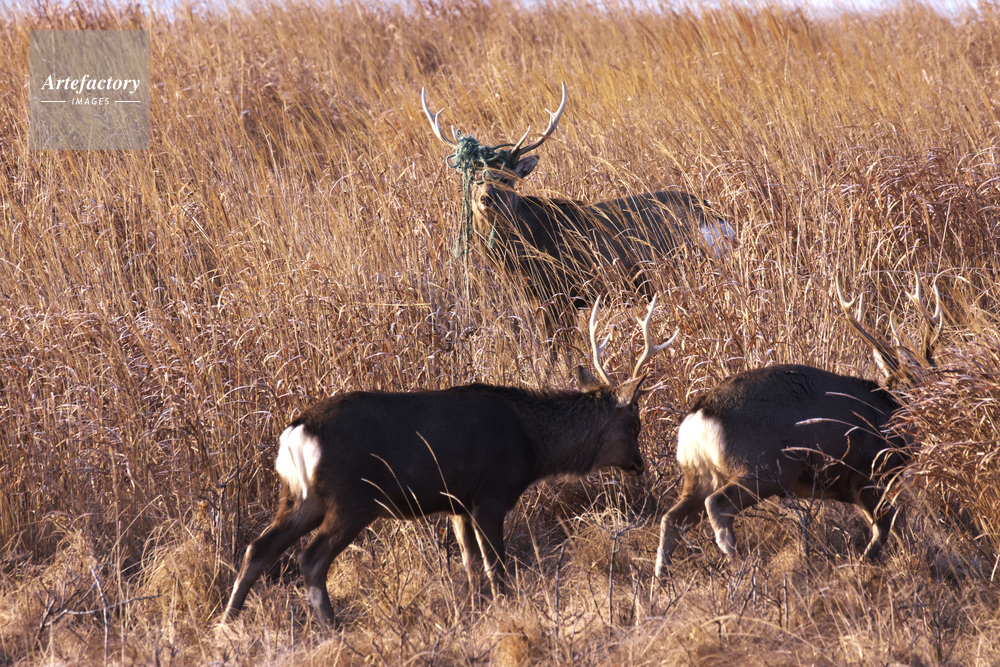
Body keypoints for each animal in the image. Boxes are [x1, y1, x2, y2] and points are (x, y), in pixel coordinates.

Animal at [223, 298, 674, 625]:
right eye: (634, 424)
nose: (639, 464)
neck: (532, 446)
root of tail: (295, 433)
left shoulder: (457, 503)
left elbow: (472, 565)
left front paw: (476, 610)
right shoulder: (491, 494)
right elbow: (495, 567)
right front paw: (507, 608)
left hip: (300, 497)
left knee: (258, 548)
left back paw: (228, 622)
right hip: (352, 497)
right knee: (311, 558)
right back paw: (331, 627)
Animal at [421, 83, 733, 335]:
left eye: (507, 178)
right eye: (473, 176)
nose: (486, 198)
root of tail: (718, 220)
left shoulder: (559, 292)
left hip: (688, 268)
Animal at [653, 275, 942, 578]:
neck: (887, 415)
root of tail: (700, 415)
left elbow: (893, 527)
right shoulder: (867, 473)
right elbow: (886, 528)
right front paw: (866, 563)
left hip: (697, 473)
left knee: (671, 518)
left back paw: (661, 578)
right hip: (762, 469)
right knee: (717, 506)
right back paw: (741, 565)